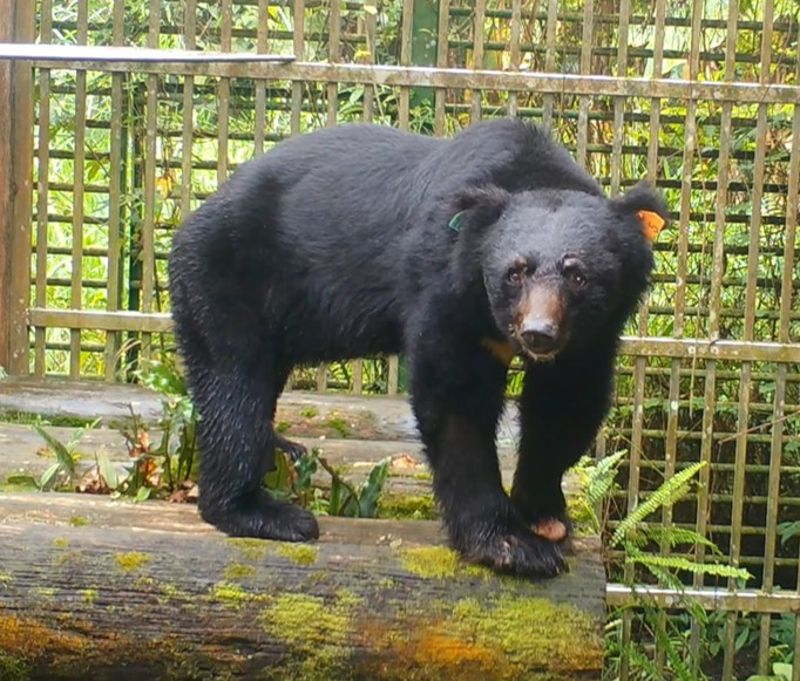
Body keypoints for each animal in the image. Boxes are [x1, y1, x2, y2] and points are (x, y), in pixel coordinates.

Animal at [168, 118, 667, 578]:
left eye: (577, 275)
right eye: (515, 272)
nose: (538, 334)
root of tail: (194, 217)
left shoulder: (592, 332)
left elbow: (565, 403)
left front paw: (546, 518)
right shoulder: (444, 286)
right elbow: (455, 399)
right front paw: (512, 545)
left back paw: (285, 452)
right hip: (225, 278)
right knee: (234, 387)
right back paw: (263, 512)